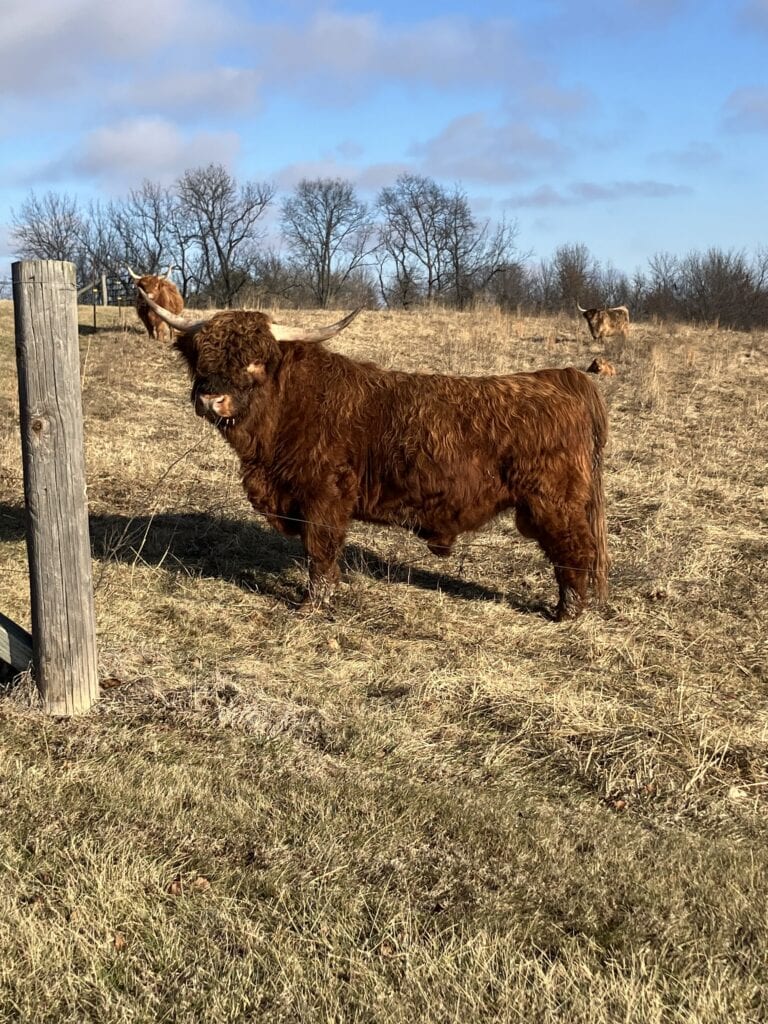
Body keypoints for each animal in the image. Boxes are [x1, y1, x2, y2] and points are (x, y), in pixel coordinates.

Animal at [140, 291, 609, 621]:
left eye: (255, 361)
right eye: (203, 355)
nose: (211, 399)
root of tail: (561, 379)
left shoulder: (323, 496)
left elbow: (320, 551)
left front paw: (312, 606)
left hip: (554, 503)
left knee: (574, 552)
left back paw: (566, 613)